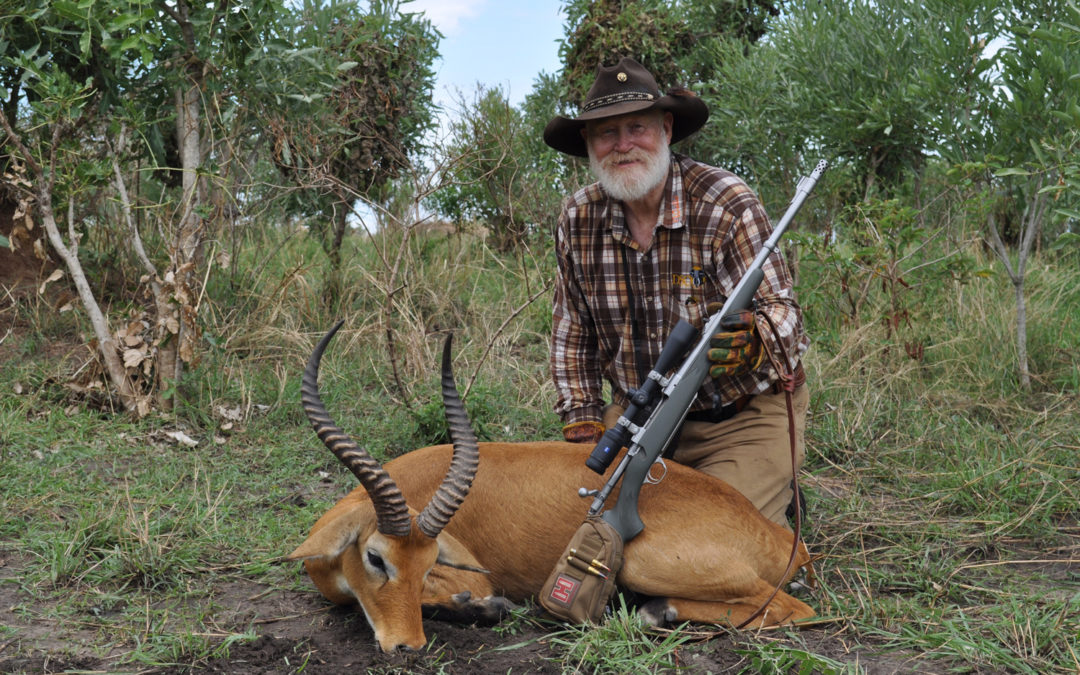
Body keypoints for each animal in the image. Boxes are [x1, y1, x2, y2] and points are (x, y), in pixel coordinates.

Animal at [287, 324, 812, 652]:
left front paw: (481, 608)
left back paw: (656, 612)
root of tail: (785, 540)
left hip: (642, 562)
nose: (408, 645)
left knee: (793, 607)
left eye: (429, 561)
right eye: (376, 557)